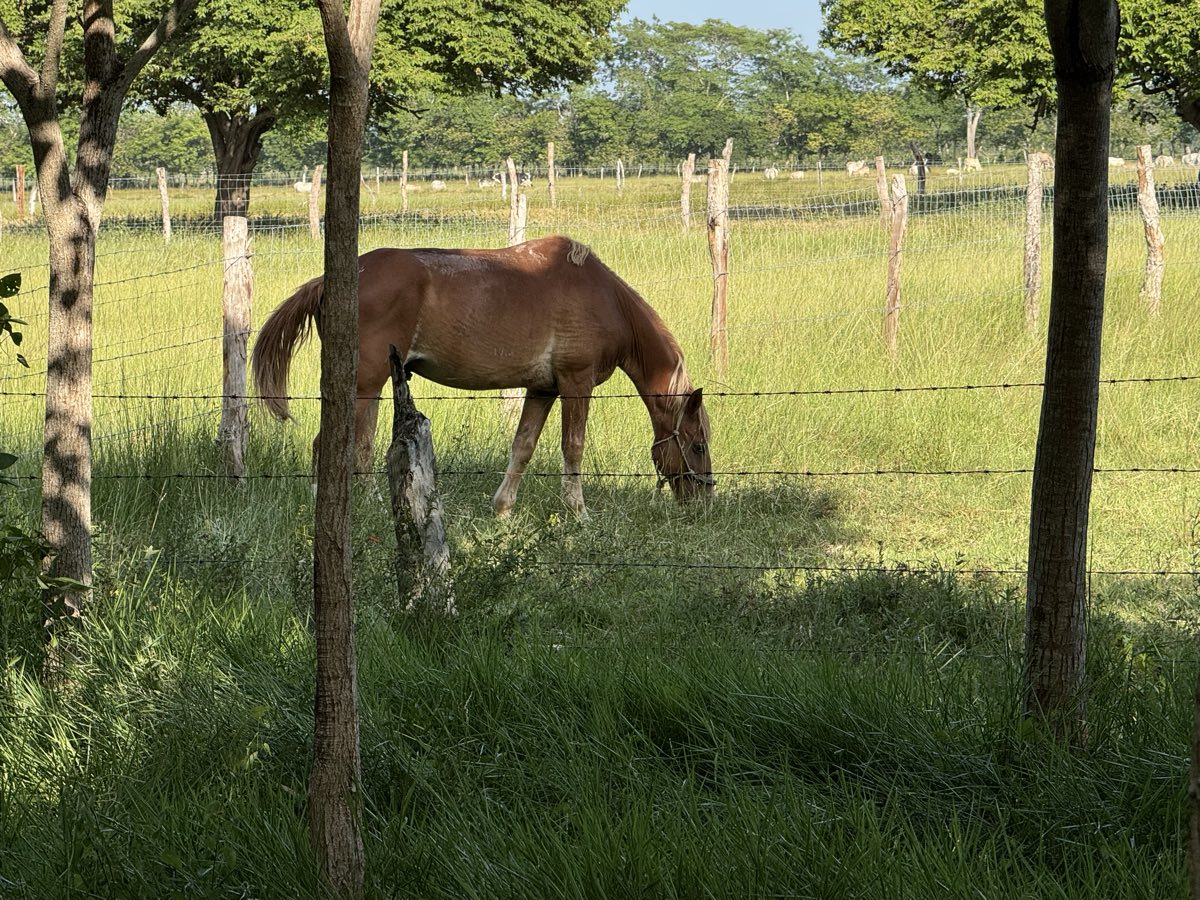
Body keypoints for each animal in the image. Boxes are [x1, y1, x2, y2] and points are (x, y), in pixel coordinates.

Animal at [251, 235, 714, 517]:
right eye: (697, 445)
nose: (704, 498)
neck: (605, 299)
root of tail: (333, 280)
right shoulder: (575, 384)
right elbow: (573, 448)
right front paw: (578, 512)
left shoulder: (542, 389)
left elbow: (523, 448)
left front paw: (503, 509)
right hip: (365, 387)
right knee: (347, 448)